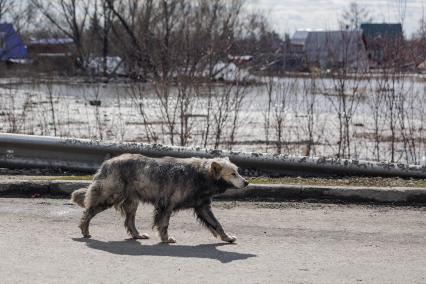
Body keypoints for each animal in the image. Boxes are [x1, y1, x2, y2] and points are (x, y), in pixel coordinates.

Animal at [71, 154, 248, 243]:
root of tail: (106, 163)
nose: (246, 182)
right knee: (89, 212)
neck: (201, 175)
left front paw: (226, 237)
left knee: (129, 221)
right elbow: (164, 224)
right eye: (233, 174)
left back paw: (137, 235)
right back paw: (85, 231)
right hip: (110, 196)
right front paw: (166, 239)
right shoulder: (167, 204)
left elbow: (217, 224)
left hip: (132, 201)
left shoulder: (202, 206)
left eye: (238, 171)